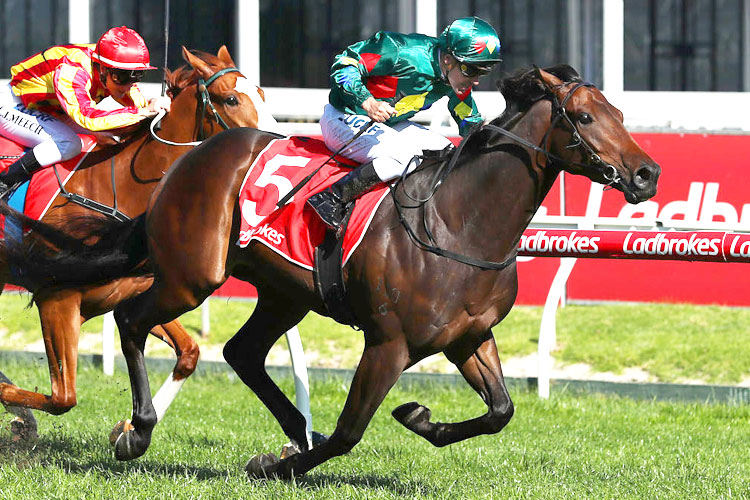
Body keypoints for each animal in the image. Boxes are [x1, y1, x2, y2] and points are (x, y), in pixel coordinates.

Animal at [4, 64, 664, 474]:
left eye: (618, 110)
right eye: (584, 117)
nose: (647, 173)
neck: (459, 221)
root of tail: (188, 160)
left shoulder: (469, 336)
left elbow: (501, 412)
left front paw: (418, 417)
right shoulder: (388, 343)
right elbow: (349, 433)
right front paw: (277, 464)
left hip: (283, 292)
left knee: (243, 352)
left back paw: (295, 426)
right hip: (193, 275)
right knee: (135, 321)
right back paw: (138, 430)